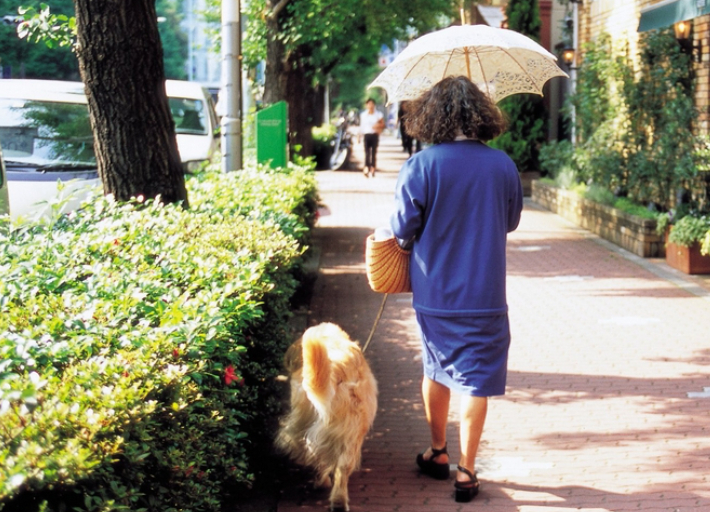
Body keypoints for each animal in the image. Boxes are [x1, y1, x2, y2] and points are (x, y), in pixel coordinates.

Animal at [276, 324, 378, 512]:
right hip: (351, 433)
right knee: (342, 468)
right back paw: (338, 501)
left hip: (306, 423)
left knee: (311, 452)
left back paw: (321, 483)